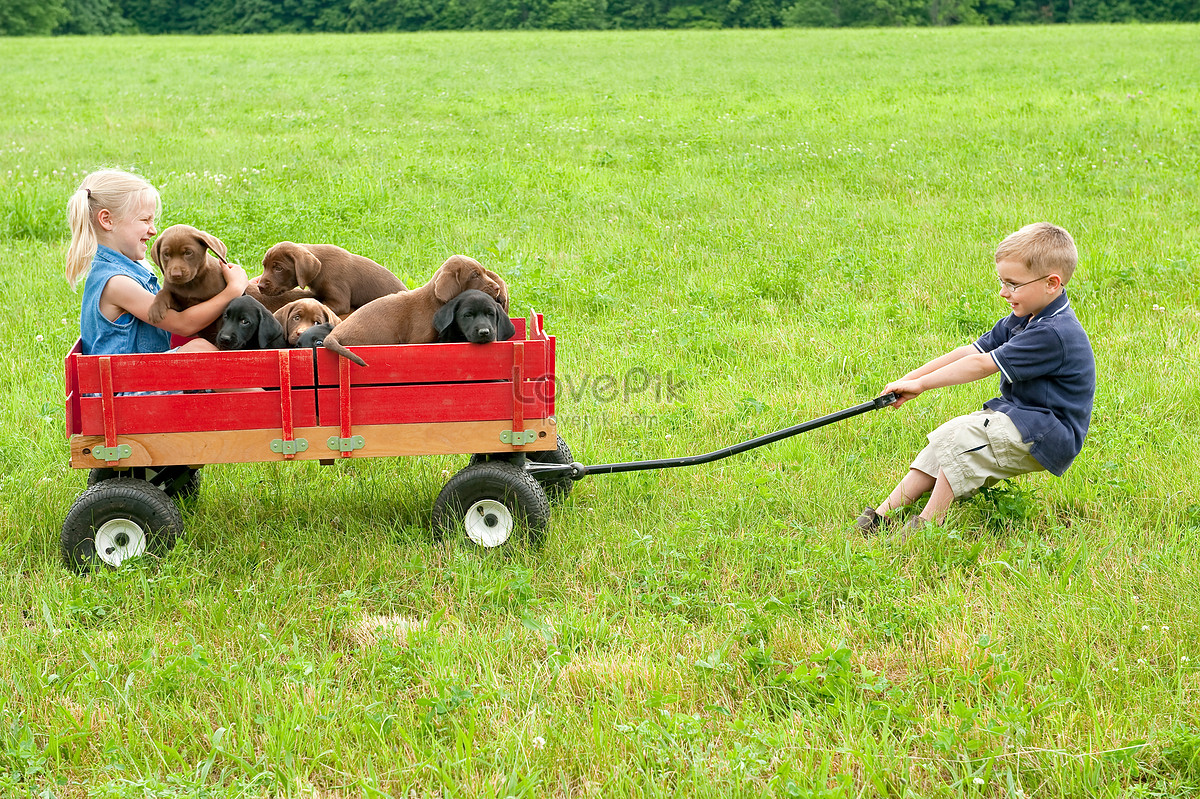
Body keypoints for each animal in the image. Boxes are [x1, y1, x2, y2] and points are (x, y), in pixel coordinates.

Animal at [321, 255, 508, 367]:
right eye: (475, 275)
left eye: (484, 272)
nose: (498, 288)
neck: (433, 303)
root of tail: (334, 334)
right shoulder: (419, 340)